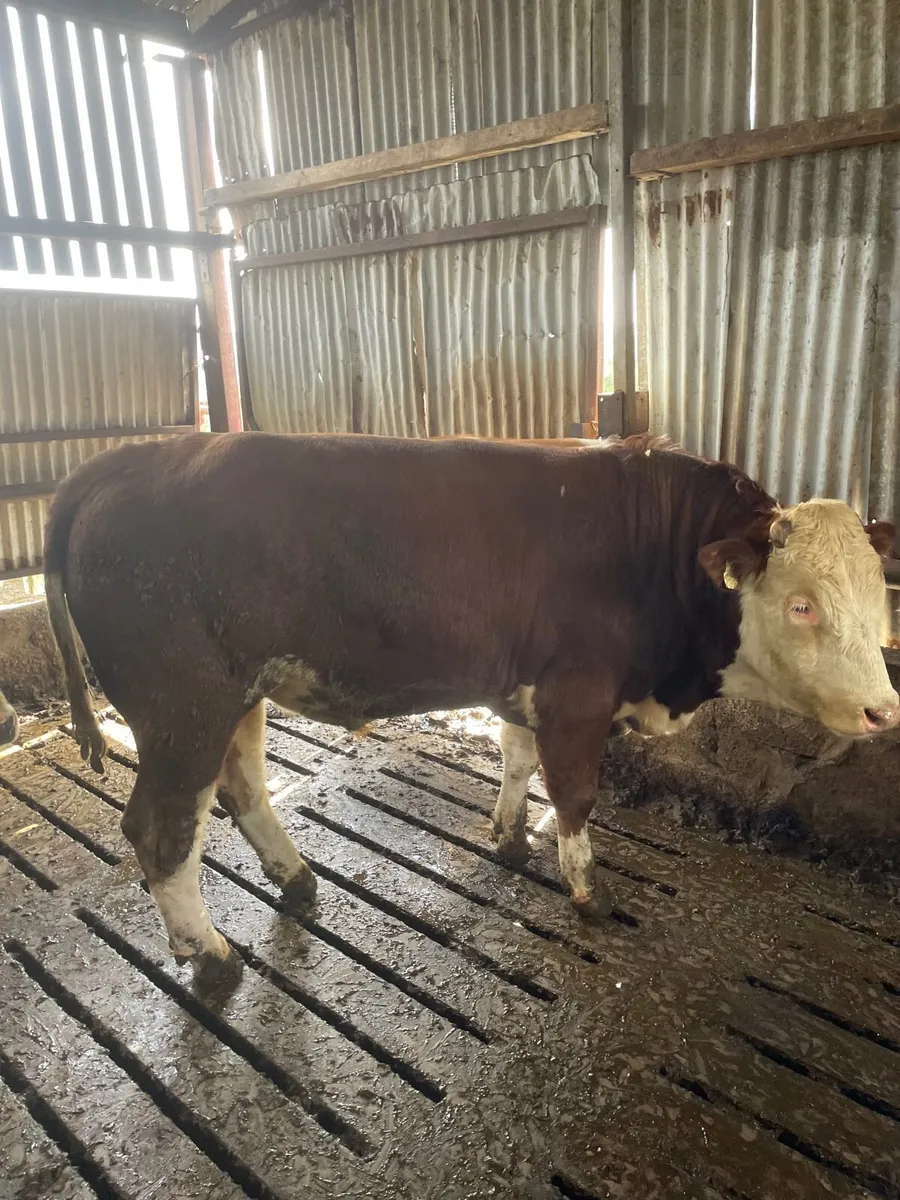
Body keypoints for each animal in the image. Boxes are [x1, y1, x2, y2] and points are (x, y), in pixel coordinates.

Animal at [43, 431, 898, 985]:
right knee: (161, 830)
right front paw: (588, 891)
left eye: (874, 595)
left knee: (242, 786)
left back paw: (295, 879)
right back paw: (214, 957)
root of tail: (119, 460)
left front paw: (509, 837)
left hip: (235, 694)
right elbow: (576, 796)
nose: (883, 711)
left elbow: (516, 759)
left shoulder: (527, 687)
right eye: (802, 605)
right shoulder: (577, 696)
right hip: (182, 707)